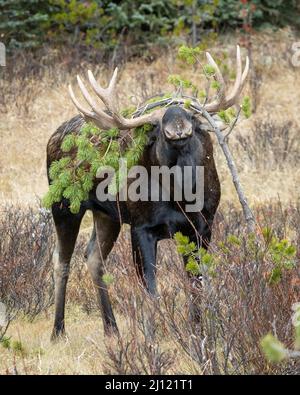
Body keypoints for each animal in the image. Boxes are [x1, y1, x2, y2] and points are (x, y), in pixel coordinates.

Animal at [47, 44, 248, 338]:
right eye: (156, 124)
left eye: (191, 116)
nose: (178, 127)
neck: (183, 198)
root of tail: (54, 136)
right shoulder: (142, 226)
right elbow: (151, 290)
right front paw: (151, 337)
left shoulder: (203, 227)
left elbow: (197, 284)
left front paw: (199, 332)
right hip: (64, 205)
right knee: (61, 261)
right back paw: (58, 331)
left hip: (108, 215)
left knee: (94, 258)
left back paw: (111, 329)